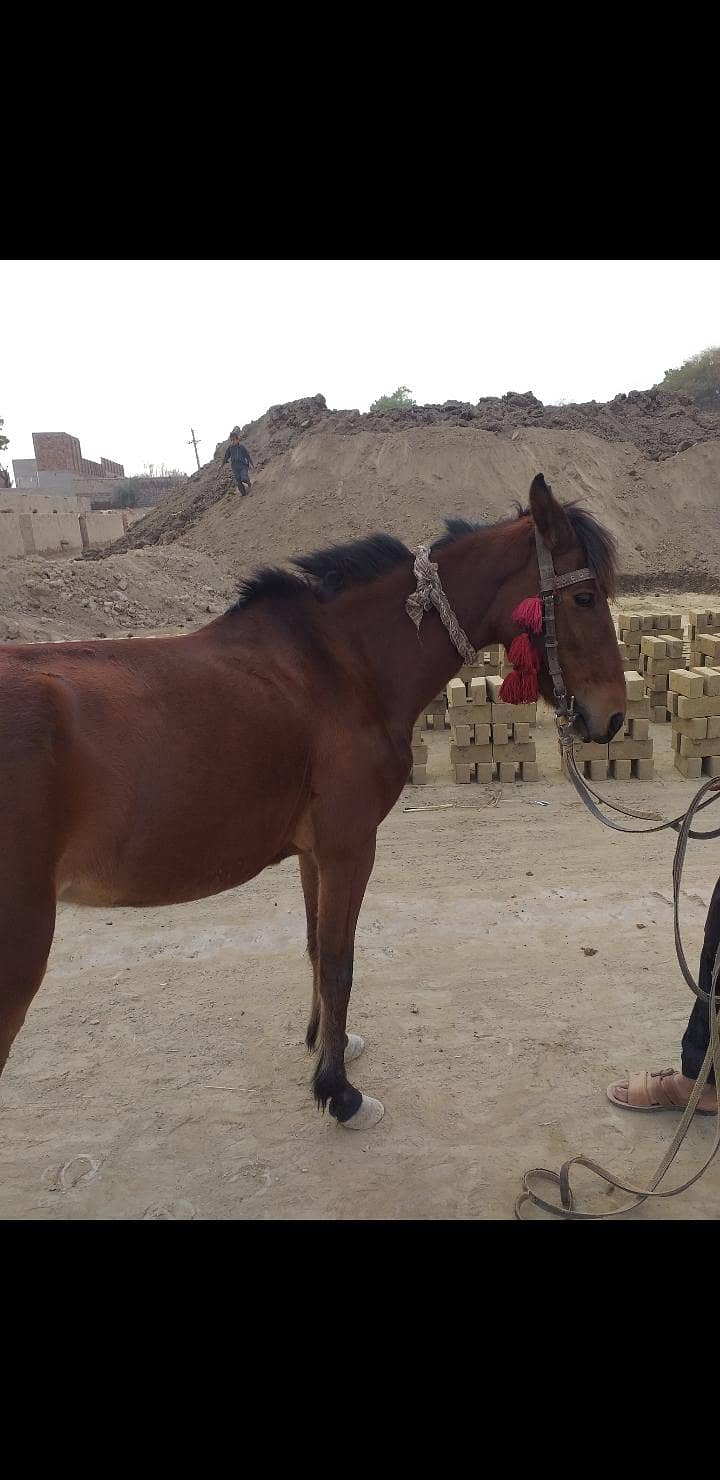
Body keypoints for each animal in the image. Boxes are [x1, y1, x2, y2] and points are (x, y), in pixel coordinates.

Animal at [0, 474, 625, 1128]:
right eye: (585, 599)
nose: (612, 716)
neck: (345, 666)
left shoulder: (312, 853)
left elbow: (313, 948)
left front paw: (327, 1043)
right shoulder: (350, 847)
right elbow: (337, 962)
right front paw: (338, 1091)